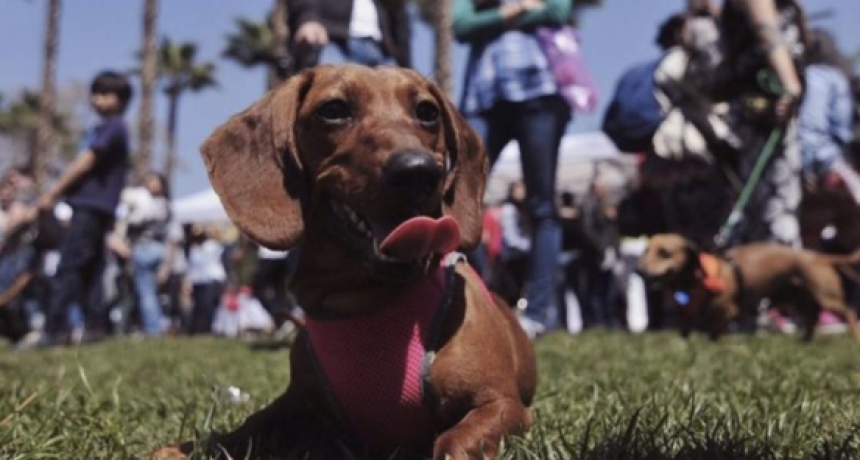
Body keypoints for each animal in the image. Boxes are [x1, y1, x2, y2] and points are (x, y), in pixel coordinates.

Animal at [636, 234, 860, 342]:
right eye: (646, 251)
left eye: (665, 253)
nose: (640, 271)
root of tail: (818, 256)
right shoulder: (684, 315)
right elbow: (684, 331)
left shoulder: (726, 311)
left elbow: (713, 332)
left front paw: (711, 344)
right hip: (796, 300)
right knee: (812, 318)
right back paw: (804, 341)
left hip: (826, 296)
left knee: (848, 313)